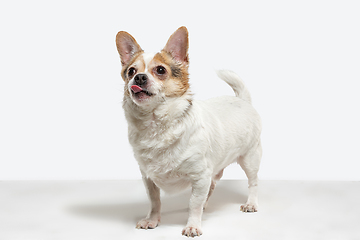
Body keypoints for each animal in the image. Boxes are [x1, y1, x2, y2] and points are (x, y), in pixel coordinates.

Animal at [115, 26, 262, 238]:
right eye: (131, 71)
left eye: (160, 70)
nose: (139, 77)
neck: (155, 124)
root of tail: (242, 100)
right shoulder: (149, 179)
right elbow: (155, 201)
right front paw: (152, 220)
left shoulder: (199, 176)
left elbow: (193, 203)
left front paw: (193, 225)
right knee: (213, 185)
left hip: (250, 158)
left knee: (253, 182)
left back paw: (251, 203)